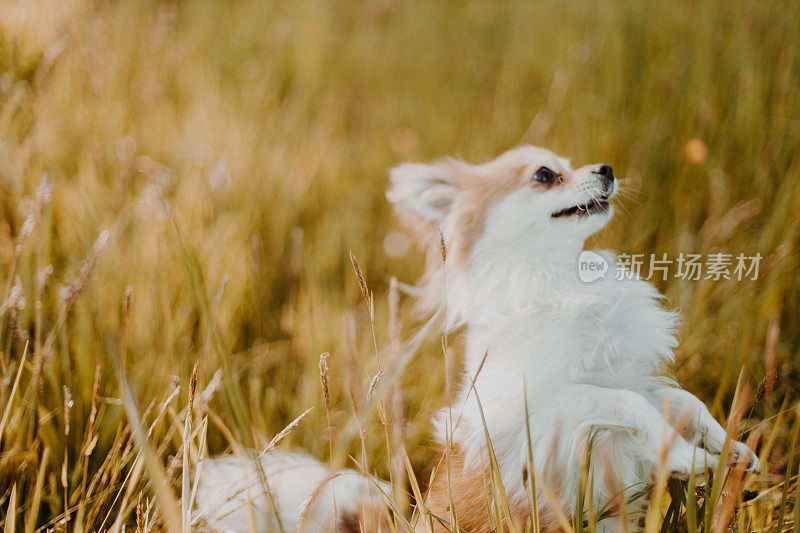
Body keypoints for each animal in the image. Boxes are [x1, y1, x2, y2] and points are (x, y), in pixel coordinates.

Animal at [386, 143, 756, 528]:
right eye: (545, 174)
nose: (606, 168)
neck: (562, 280)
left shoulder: (622, 378)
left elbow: (682, 399)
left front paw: (728, 446)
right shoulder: (543, 407)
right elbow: (629, 403)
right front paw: (686, 456)